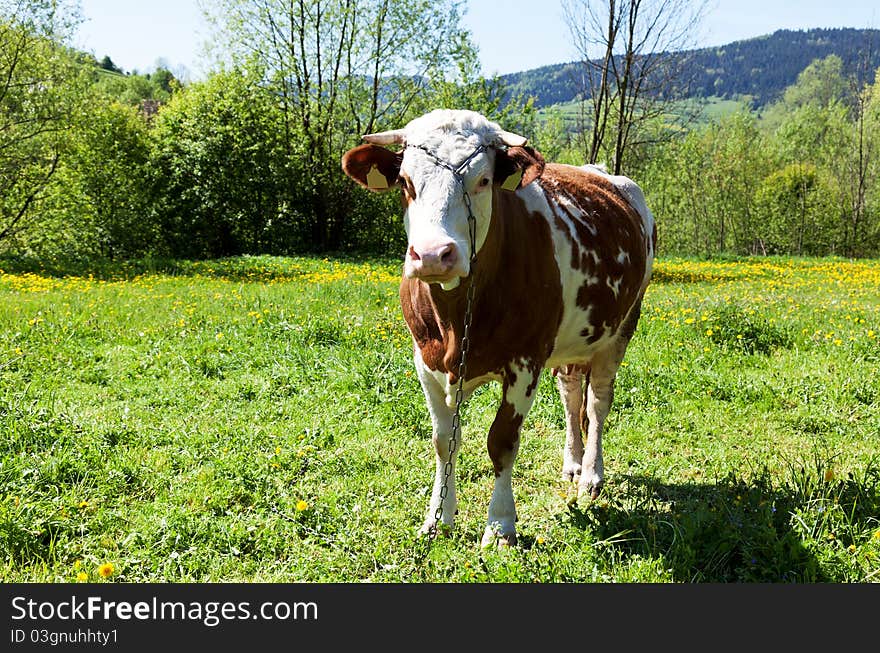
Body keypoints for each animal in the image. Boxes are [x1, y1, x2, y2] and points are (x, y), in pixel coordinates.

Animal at [342, 108, 652, 544]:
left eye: (483, 180)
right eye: (405, 182)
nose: (434, 255)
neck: (455, 320)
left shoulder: (525, 362)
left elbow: (502, 441)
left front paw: (501, 525)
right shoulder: (425, 361)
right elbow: (444, 441)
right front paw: (438, 517)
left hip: (620, 329)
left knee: (597, 402)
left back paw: (591, 474)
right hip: (572, 341)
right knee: (572, 394)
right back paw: (573, 464)